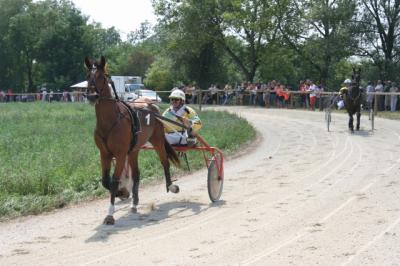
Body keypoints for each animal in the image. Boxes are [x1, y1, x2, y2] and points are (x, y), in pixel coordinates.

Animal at [85, 56, 180, 224]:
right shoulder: (105, 153)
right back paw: (135, 204)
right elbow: (105, 181)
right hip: (134, 150)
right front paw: (122, 193)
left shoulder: (121, 153)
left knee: (165, 162)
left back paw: (171, 186)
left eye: (102, 77)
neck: (110, 120)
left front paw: (110, 214)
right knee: (136, 174)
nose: (92, 96)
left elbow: (114, 180)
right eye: (88, 76)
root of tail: (151, 105)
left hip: (157, 141)